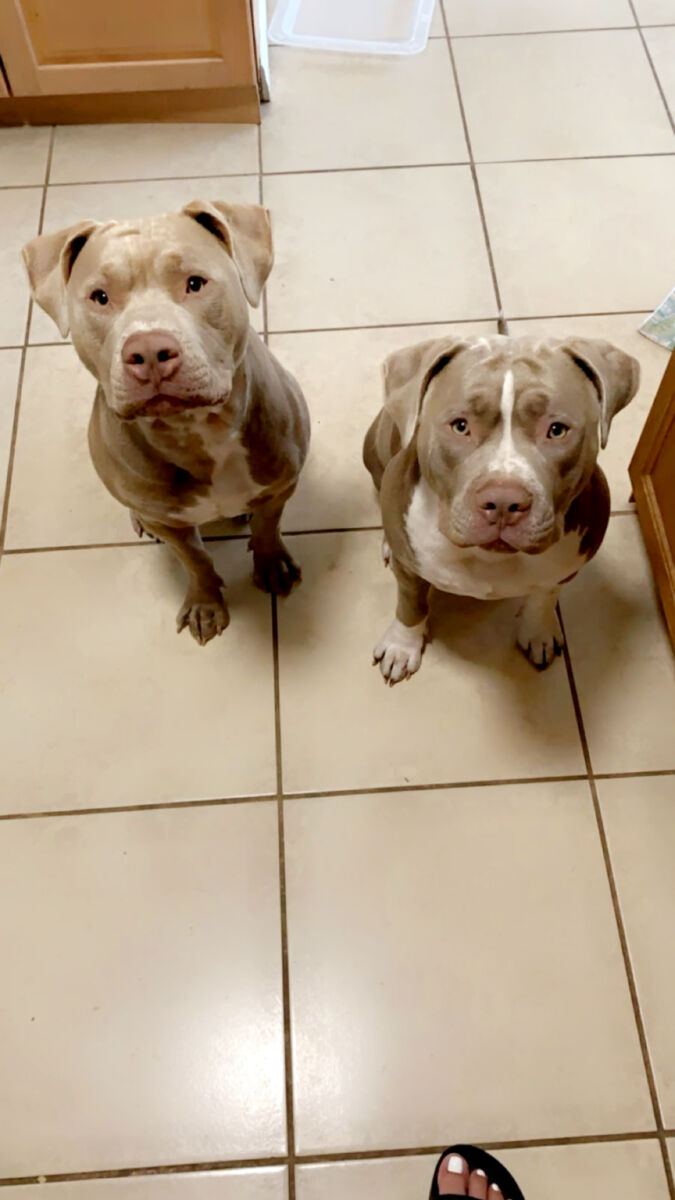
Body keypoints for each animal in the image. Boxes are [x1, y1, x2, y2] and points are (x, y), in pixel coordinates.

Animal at [22, 199, 310, 645]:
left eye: (195, 283)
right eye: (99, 297)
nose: (149, 351)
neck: (198, 431)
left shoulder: (281, 484)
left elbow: (267, 527)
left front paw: (272, 565)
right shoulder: (173, 523)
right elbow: (194, 558)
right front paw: (206, 603)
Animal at [363, 333, 639, 684]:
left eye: (557, 429)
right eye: (460, 425)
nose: (505, 502)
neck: (491, 558)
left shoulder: (568, 566)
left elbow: (545, 595)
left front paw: (538, 630)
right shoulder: (410, 571)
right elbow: (411, 604)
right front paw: (402, 646)